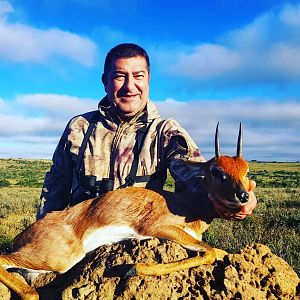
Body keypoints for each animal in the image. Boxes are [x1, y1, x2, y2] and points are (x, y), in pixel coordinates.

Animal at [0, 123, 252, 298]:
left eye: (246, 170)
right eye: (216, 170)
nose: (244, 196)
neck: (188, 205)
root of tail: (23, 235)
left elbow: (218, 252)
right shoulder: (157, 228)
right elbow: (208, 253)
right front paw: (132, 267)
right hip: (59, 259)